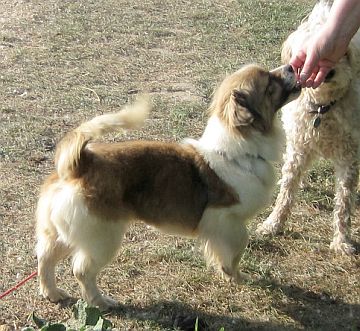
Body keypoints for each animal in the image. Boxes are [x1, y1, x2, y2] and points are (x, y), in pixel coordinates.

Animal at [35, 65, 300, 312]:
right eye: (269, 84)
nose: (291, 67)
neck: (238, 154)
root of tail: (80, 164)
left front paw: (227, 273)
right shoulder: (227, 221)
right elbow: (237, 249)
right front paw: (234, 275)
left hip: (61, 236)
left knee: (45, 259)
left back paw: (53, 293)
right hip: (103, 239)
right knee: (82, 271)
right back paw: (101, 302)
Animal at [256, 0, 360, 256]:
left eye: (345, 53)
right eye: (308, 50)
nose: (329, 71)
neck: (323, 108)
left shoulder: (349, 158)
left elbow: (344, 202)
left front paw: (342, 241)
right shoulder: (298, 147)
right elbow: (287, 190)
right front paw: (272, 224)